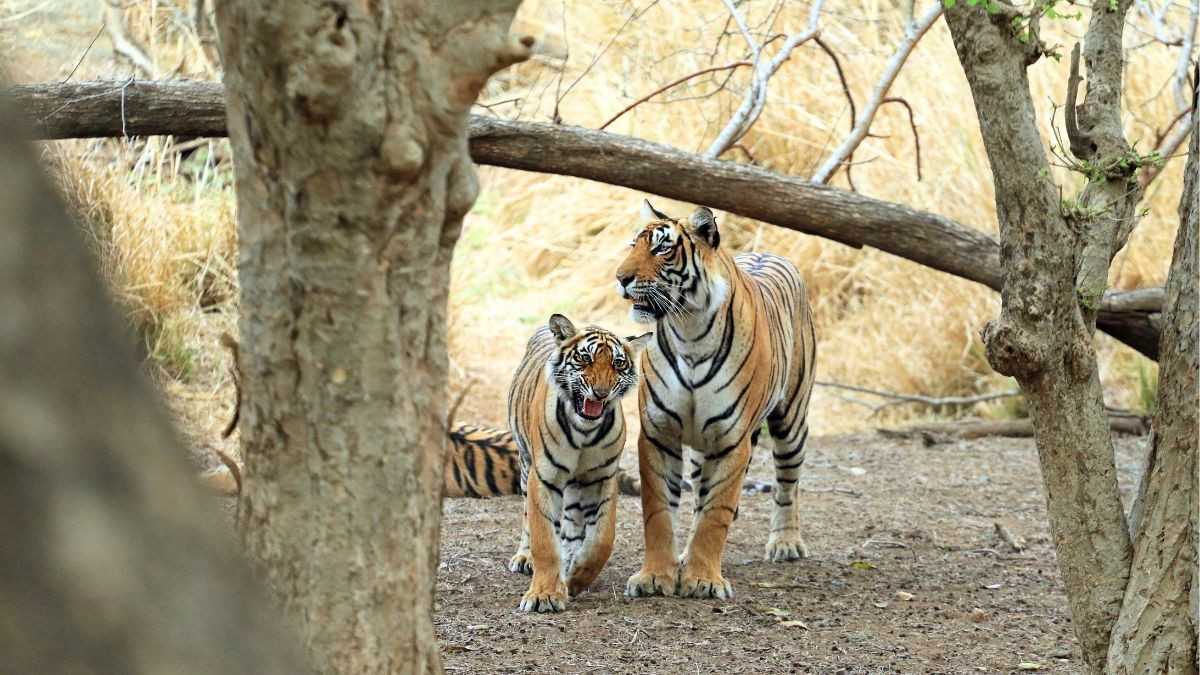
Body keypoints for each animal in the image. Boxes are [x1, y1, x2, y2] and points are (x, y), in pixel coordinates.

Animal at [505, 313, 651, 612]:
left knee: (572, 525)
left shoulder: (603, 477)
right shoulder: (544, 477)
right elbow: (544, 540)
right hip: (525, 464)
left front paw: (575, 577)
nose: (601, 392)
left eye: (618, 363)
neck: (585, 431)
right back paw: (525, 558)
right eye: (585, 358)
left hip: (575, 484)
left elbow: (601, 539)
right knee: (527, 516)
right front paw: (543, 596)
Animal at [615, 199, 817, 600]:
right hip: (699, 452)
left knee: (788, 483)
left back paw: (786, 542)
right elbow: (658, 512)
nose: (620, 278)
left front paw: (704, 580)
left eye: (662, 248)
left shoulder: (731, 440)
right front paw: (655, 577)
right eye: (633, 245)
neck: (689, 330)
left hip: (791, 421)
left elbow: (715, 514)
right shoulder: (659, 434)